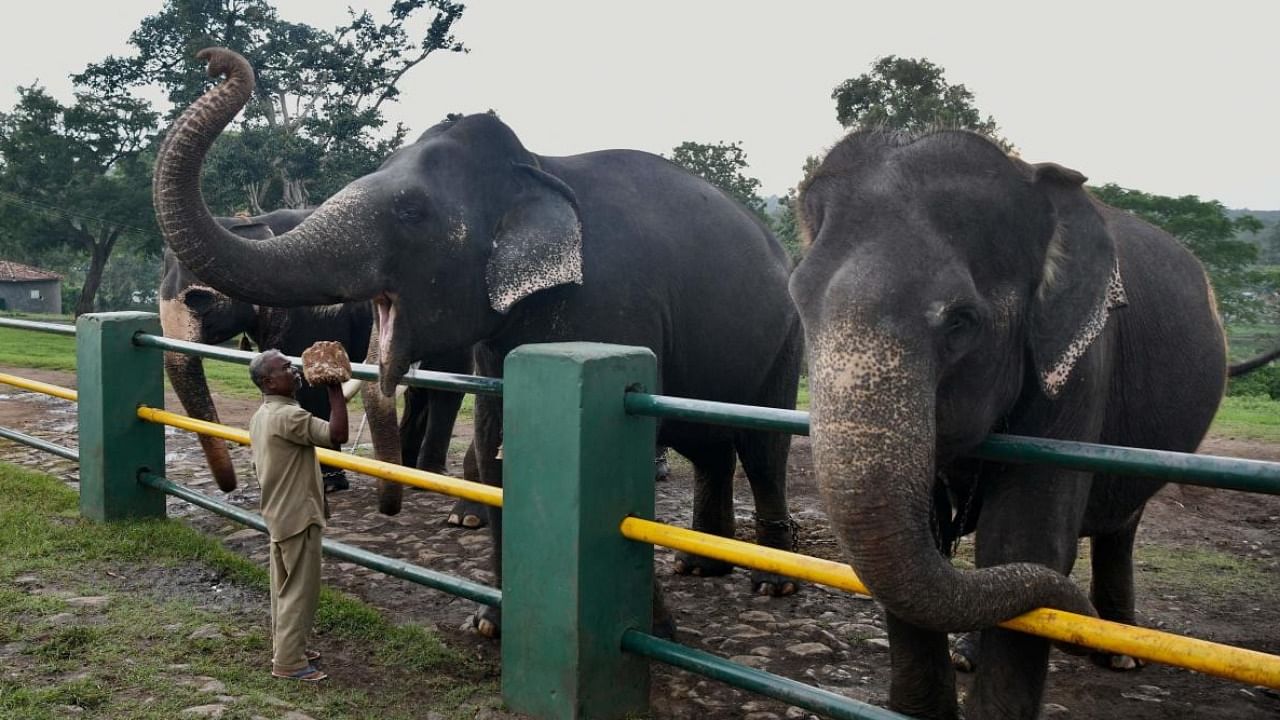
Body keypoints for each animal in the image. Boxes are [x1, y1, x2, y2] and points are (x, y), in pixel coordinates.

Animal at [154, 46, 803, 632]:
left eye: (411, 211)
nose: (213, 59)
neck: (535, 166)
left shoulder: (614, 307)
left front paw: (652, 635)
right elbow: (499, 444)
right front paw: (490, 627)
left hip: (788, 335)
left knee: (761, 444)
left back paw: (770, 584)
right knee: (710, 443)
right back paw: (702, 567)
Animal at [788, 128, 1228, 717]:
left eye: (961, 321)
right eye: (798, 302)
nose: (1082, 621)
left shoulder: (1083, 362)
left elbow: (1023, 540)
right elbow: (927, 539)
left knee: (1120, 525)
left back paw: (1121, 654)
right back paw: (972, 655)